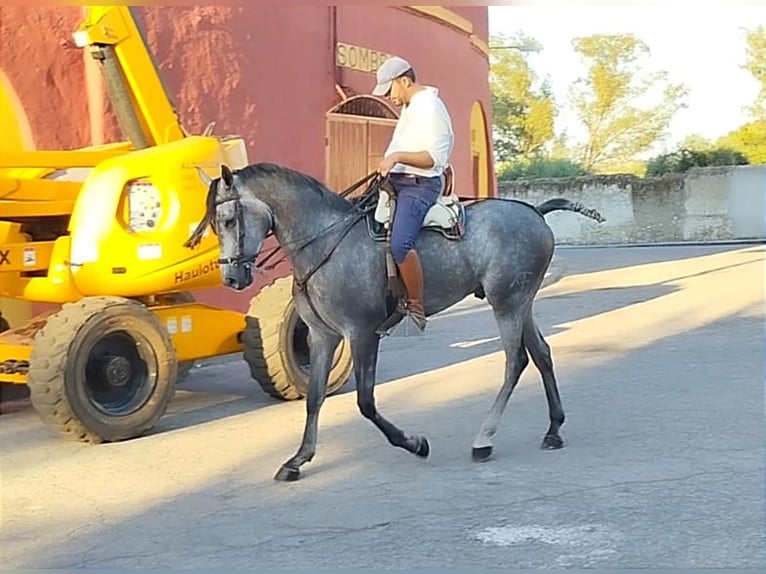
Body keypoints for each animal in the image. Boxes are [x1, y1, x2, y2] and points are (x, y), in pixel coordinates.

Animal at [186, 164, 608, 484]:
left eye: (228, 219)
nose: (232, 279)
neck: (325, 243)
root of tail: (535, 211)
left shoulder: (361, 334)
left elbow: (366, 402)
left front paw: (415, 443)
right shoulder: (323, 337)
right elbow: (315, 398)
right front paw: (298, 459)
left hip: (507, 303)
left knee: (516, 361)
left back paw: (484, 438)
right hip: (522, 303)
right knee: (542, 354)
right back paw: (553, 429)